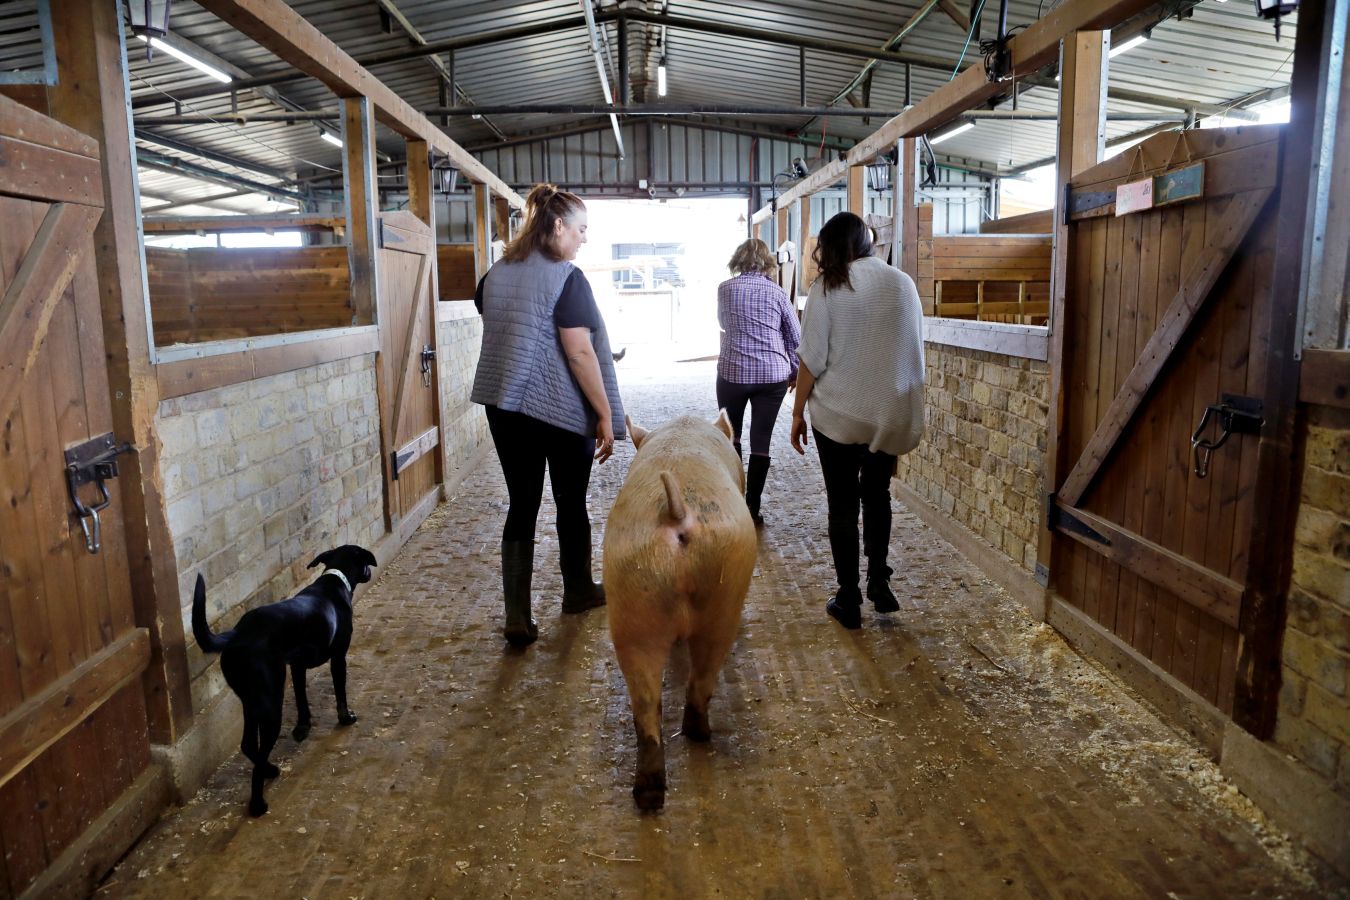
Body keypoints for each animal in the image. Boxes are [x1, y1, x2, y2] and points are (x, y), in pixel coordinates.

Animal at [193, 542, 378, 814]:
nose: (369, 572)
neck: (334, 580)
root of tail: (238, 634)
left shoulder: (297, 666)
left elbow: (302, 699)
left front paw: (303, 727)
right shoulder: (338, 658)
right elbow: (340, 693)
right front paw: (346, 718)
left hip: (251, 700)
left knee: (249, 744)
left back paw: (270, 769)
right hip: (271, 701)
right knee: (258, 751)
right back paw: (258, 804)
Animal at [604, 412, 761, 814]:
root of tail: (676, 512)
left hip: (633, 596)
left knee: (646, 703)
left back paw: (648, 795)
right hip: (726, 590)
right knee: (704, 673)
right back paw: (700, 734)